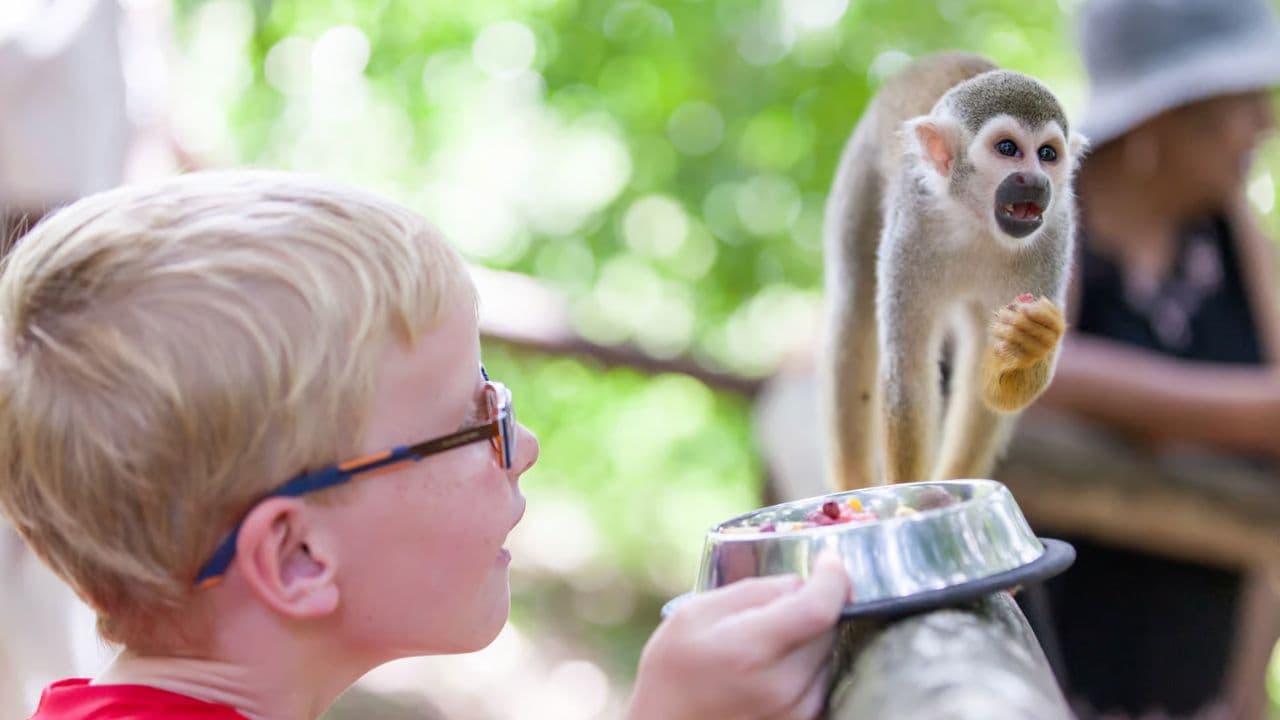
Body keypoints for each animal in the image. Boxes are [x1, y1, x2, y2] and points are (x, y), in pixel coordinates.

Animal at [821, 52, 1088, 490]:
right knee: (852, 305)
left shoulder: (1054, 235)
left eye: (1048, 154)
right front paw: (910, 496)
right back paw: (855, 483)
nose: (1035, 181)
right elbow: (908, 378)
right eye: (1008, 148)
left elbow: (996, 394)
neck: (976, 221)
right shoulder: (912, 226)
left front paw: (1030, 343)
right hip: (859, 169)